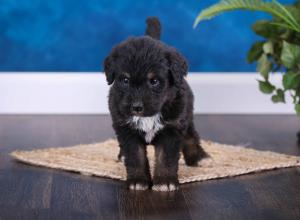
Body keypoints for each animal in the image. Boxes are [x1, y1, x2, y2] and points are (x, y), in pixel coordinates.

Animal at [103, 16, 206, 191]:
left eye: (154, 81)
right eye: (125, 80)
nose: (136, 107)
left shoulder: (172, 129)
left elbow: (166, 158)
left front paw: (165, 181)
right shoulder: (127, 130)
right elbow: (135, 156)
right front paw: (138, 180)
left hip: (186, 115)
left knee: (191, 135)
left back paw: (197, 157)